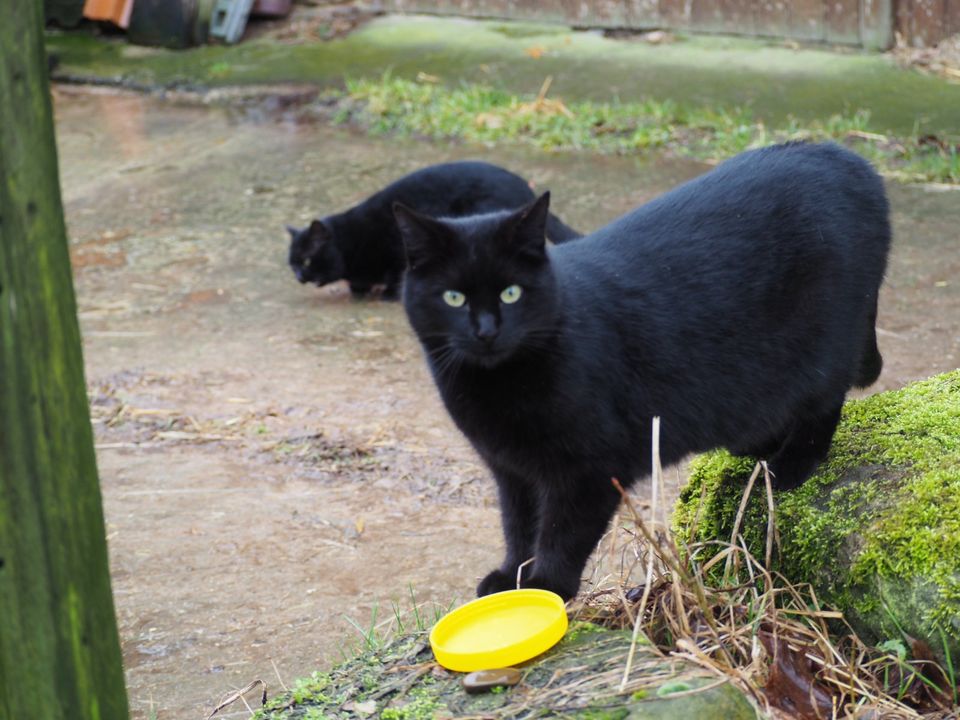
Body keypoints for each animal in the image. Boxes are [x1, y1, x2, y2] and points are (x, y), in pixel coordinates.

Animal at [288, 160, 580, 298]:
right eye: (292, 264)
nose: (299, 277)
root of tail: (525, 190)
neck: (351, 239)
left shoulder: (397, 246)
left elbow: (396, 275)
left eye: (306, 260)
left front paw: (386, 295)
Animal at [394, 142, 888, 600]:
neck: (498, 385)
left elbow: (561, 533)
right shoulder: (511, 470)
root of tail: (846, 159)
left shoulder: (587, 470)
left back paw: (789, 466)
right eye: (453, 298)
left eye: (511, 293)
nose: (486, 331)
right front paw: (512, 576)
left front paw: (547, 586)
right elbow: (518, 524)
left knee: (823, 403)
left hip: (824, 342)